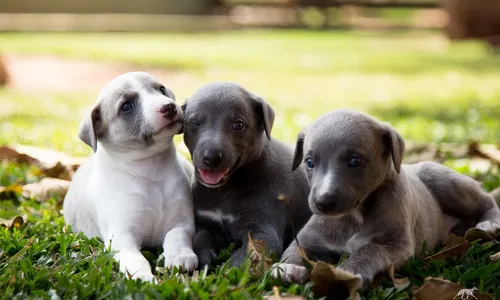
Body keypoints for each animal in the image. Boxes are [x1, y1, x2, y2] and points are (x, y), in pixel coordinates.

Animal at [61, 71, 196, 282]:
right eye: (126, 106)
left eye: (161, 89)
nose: (169, 107)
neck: (151, 172)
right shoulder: (122, 237)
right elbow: (135, 259)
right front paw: (143, 276)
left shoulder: (182, 222)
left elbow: (176, 236)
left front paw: (180, 256)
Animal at [181, 82, 312, 268]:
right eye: (194, 123)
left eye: (238, 125)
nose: (211, 157)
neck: (225, 190)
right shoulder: (204, 221)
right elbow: (199, 238)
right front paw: (203, 260)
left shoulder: (262, 232)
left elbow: (240, 260)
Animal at [274, 109, 500, 288]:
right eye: (309, 162)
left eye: (355, 161)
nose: (323, 203)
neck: (355, 217)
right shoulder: (309, 238)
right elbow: (294, 249)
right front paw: (288, 267)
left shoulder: (397, 246)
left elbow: (370, 250)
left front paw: (348, 271)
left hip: (444, 180)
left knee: (487, 200)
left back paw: (488, 223)